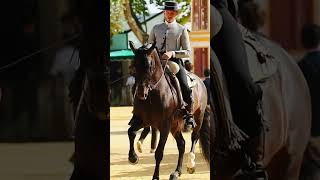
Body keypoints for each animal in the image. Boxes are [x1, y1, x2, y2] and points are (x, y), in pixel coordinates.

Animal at [127, 41, 210, 180]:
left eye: (150, 65)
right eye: (134, 64)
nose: (140, 93)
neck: (153, 94)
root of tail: (200, 80)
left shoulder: (164, 125)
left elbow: (159, 152)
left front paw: (155, 177)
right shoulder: (142, 120)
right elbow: (131, 132)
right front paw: (133, 157)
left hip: (198, 117)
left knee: (194, 137)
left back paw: (191, 165)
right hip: (175, 125)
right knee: (181, 144)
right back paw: (176, 172)